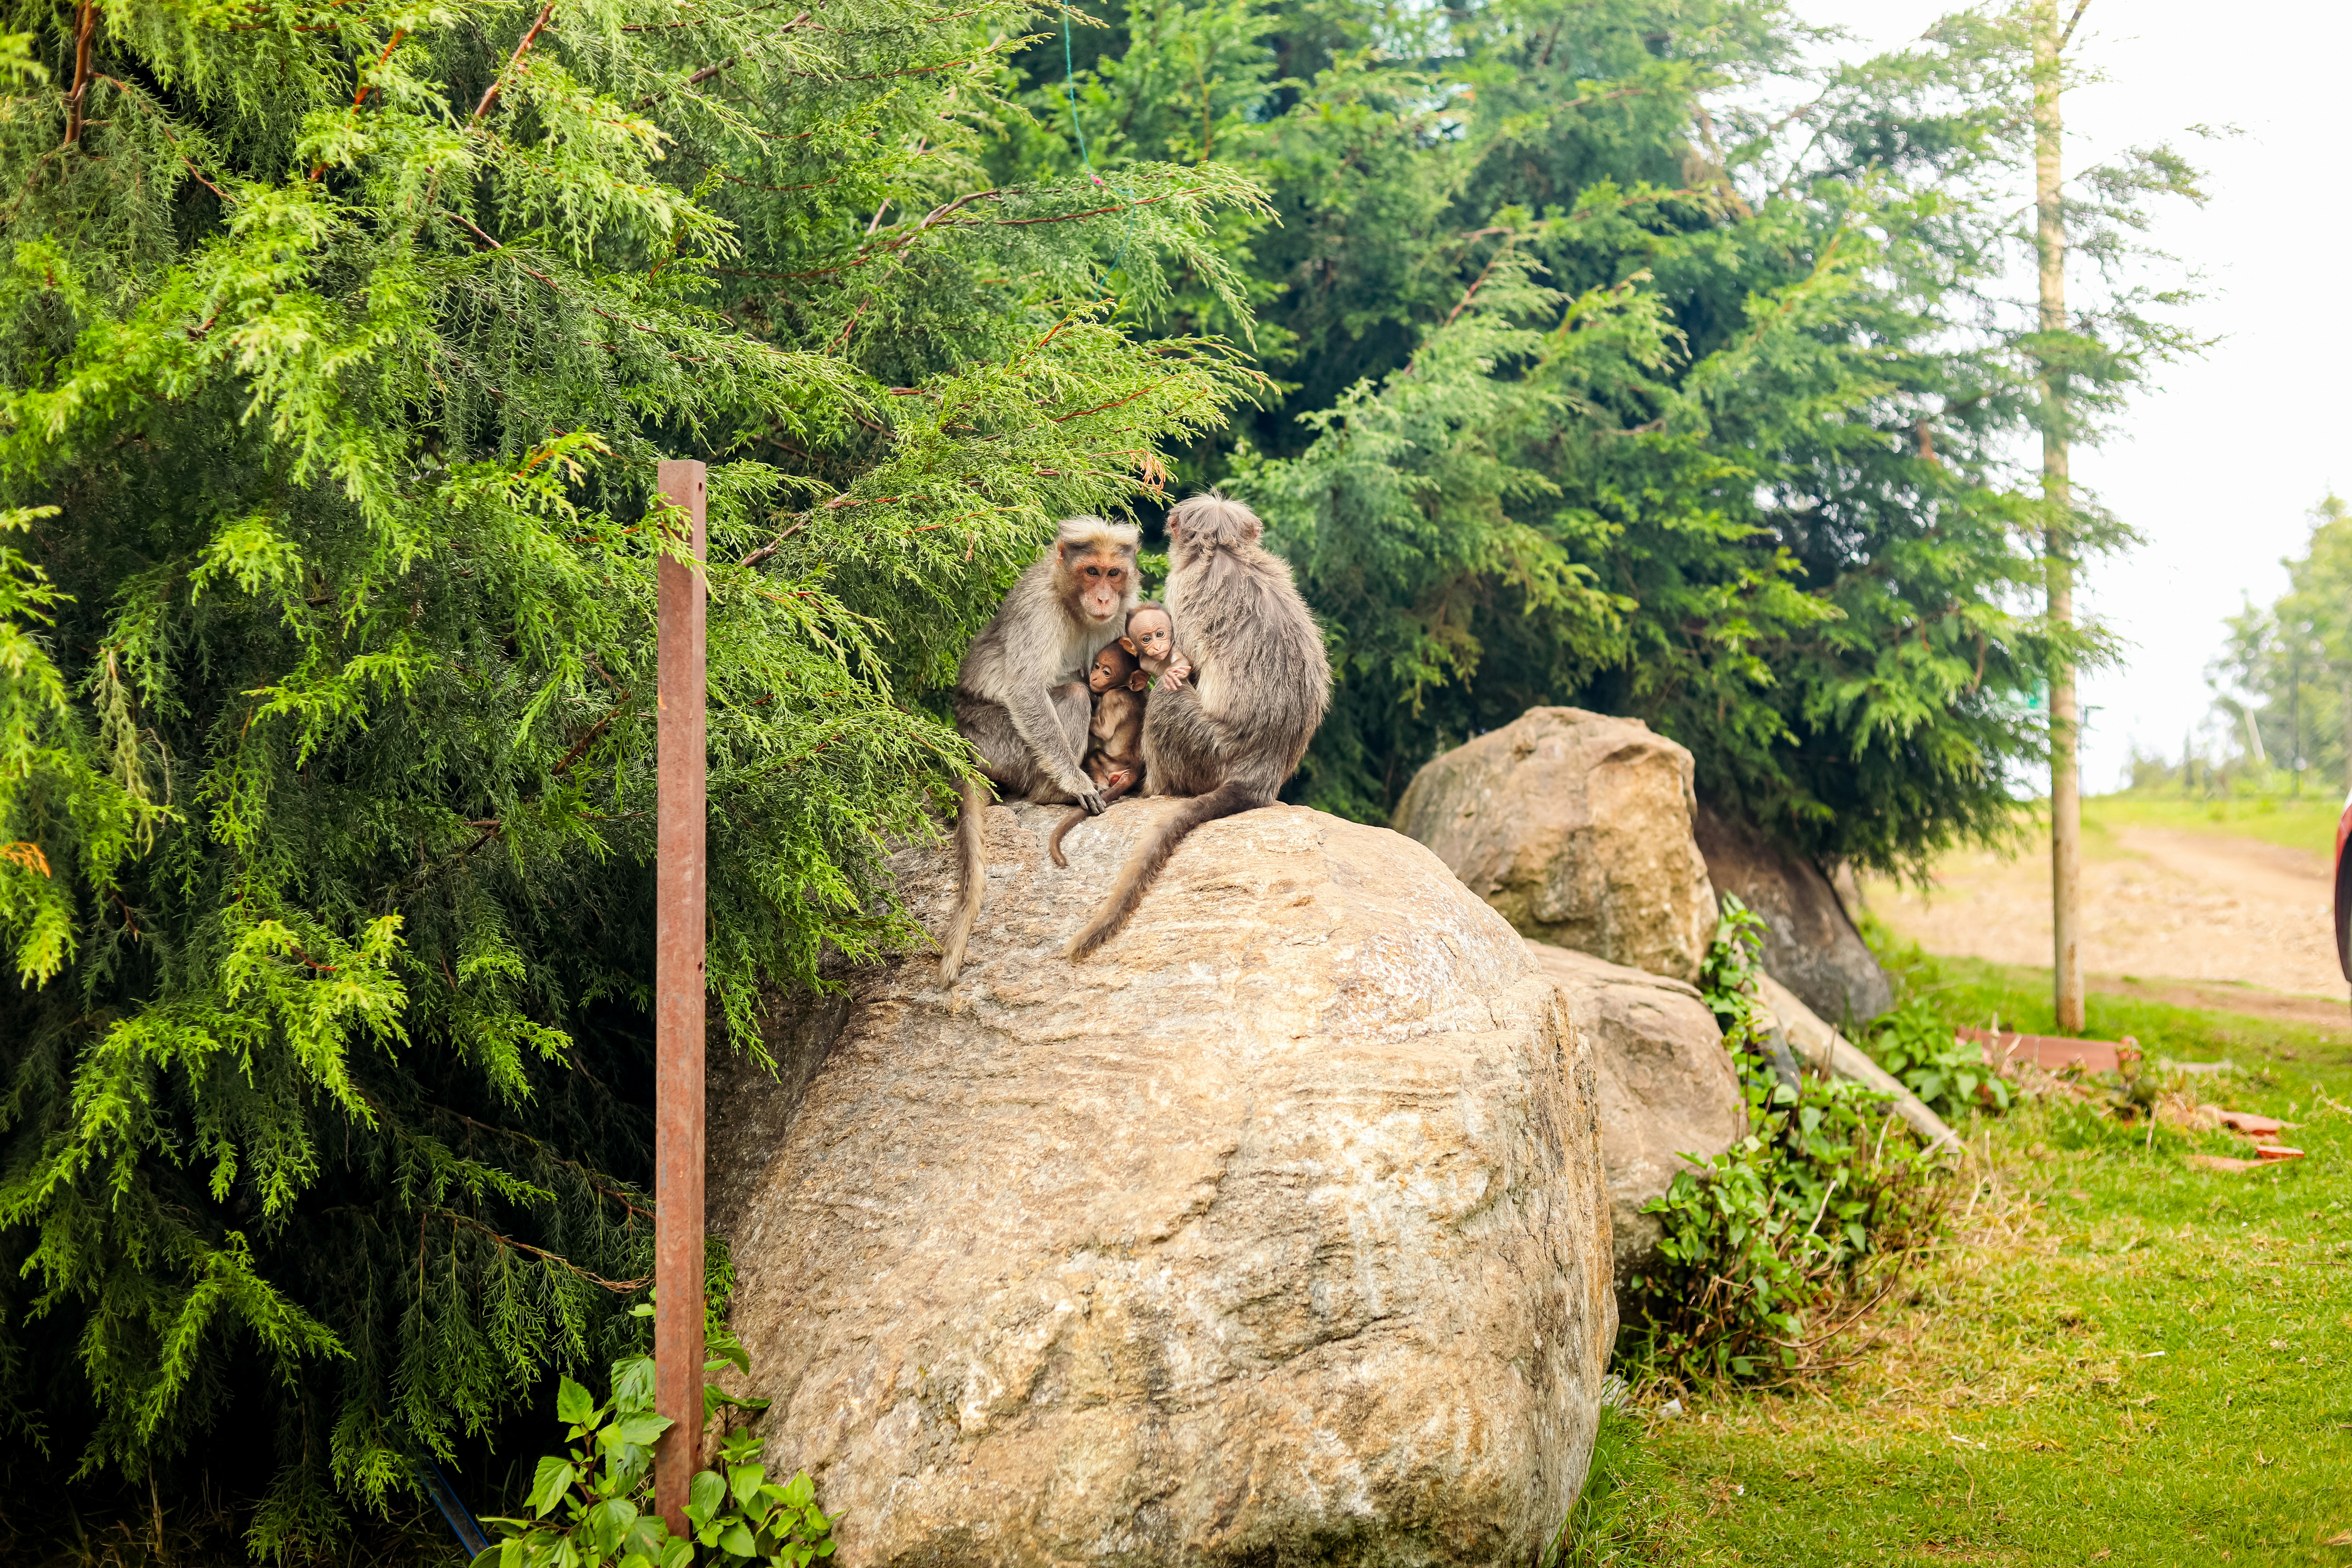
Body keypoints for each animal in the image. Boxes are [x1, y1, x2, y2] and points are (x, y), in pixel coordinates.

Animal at [1047, 640, 1151, 868]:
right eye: (1096, 667)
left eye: (1106, 672)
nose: (1094, 678)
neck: (1123, 688)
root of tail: (1134, 770)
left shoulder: (1113, 698)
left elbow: (1105, 731)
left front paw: (1091, 696)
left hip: (1111, 763)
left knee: (1093, 756)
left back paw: (1101, 785)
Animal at [1121, 601, 1192, 692]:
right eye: (1147, 639)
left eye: (1160, 634)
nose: (1157, 647)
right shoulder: (1144, 662)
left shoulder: (1174, 650)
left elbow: (1182, 660)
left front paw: (1170, 673)